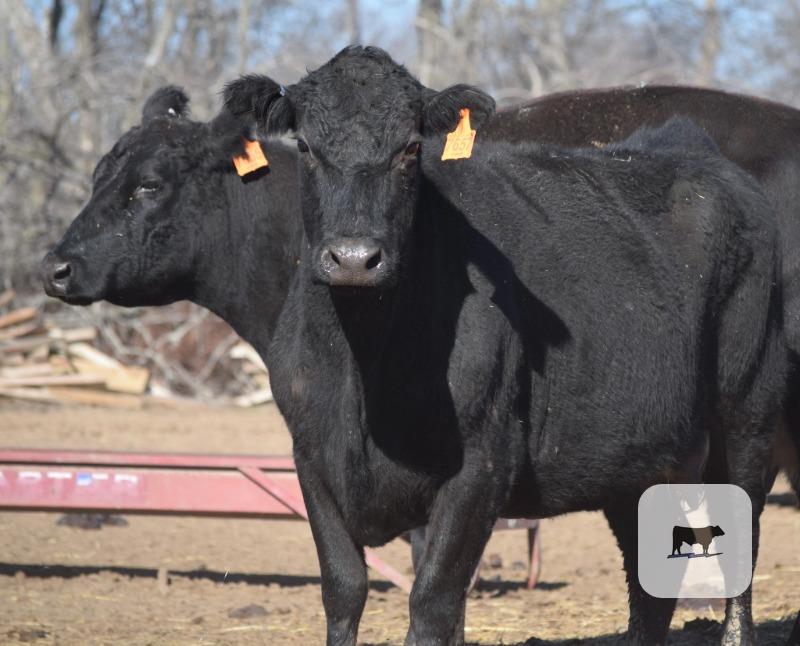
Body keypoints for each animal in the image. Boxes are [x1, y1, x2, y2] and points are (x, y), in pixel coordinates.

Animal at [224, 46, 786, 646]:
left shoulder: (480, 466)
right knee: (647, 581)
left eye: (411, 148)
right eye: (306, 146)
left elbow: (434, 600)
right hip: (642, 455)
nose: (354, 258)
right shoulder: (311, 459)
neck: (364, 368)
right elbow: (344, 589)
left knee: (740, 544)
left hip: (747, 414)